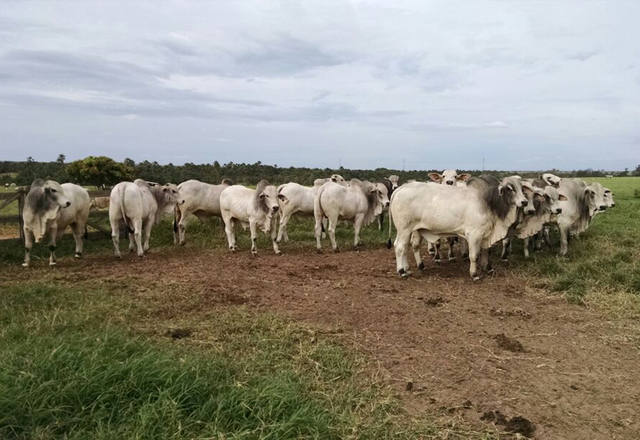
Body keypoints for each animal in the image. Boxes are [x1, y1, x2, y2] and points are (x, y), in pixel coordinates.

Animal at [388, 174, 528, 280]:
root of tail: (401, 188)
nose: (525, 202)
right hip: (404, 229)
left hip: (411, 230)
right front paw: (474, 274)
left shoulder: (485, 234)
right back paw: (401, 271)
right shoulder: (474, 234)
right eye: (510, 188)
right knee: (399, 247)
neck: (488, 203)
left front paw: (488, 268)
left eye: (522, 188)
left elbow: (486, 252)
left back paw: (411, 268)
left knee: (407, 247)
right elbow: (474, 255)